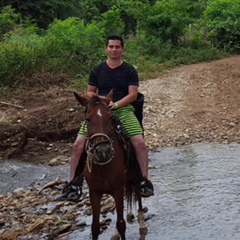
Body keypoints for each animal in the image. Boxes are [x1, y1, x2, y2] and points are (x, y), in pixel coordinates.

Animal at [74, 91, 147, 240]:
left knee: (138, 197)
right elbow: (95, 227)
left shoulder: (117, 190)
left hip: (136, 177)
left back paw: (142, 224)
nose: (103, 151)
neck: (103, 166)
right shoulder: (94, 192)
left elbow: (121, 223)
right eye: (88, 119)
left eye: (110, 118)